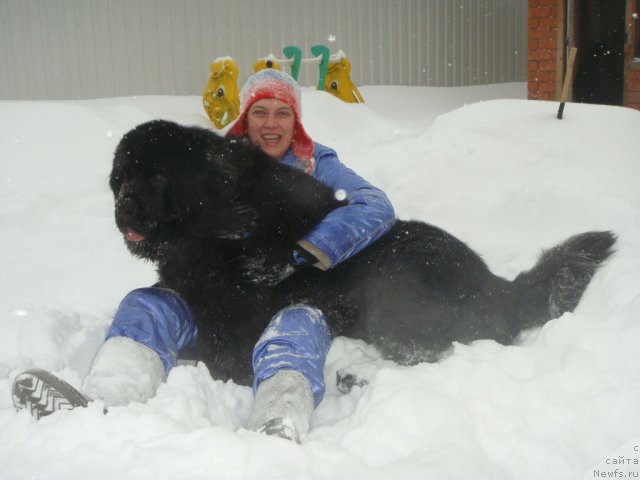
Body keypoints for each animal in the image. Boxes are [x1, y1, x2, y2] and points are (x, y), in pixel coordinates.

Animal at [110, 120, 616, 390]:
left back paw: (355, 377)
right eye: (120, 178)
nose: (124, 205)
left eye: (158, 178)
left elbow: (223, 354)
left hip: (395, 291)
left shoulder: (234, 317)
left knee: (426, 354)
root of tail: (497, 285)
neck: (215, 212)